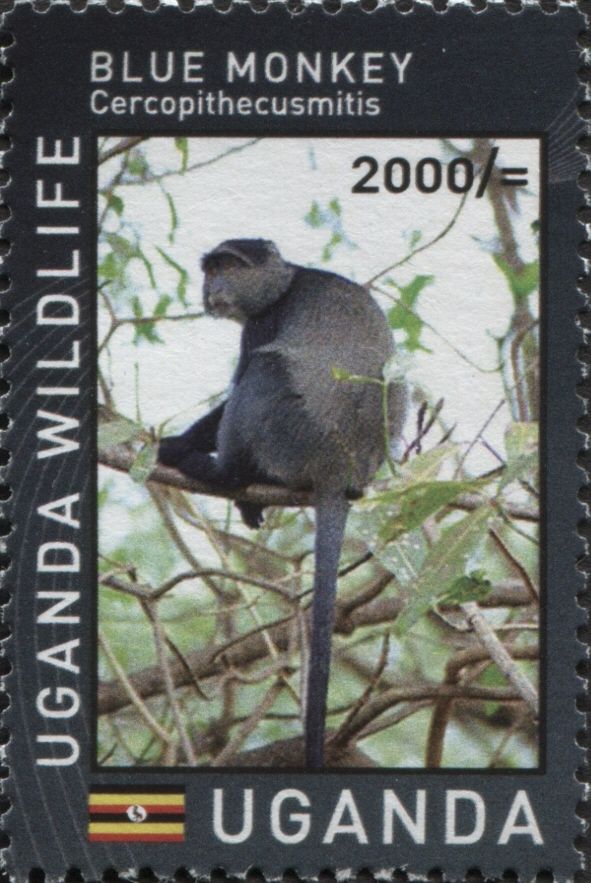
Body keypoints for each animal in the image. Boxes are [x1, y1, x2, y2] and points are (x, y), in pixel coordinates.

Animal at [158, 239, 406, 768]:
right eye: (208, 270)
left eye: (226, 266)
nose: (211, 287)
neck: (288, 280)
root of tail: (341, 471)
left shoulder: (262, 324)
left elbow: (242, 376)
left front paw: (174, 446)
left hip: (292, 431)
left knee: (264, 370)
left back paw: (226, 472)